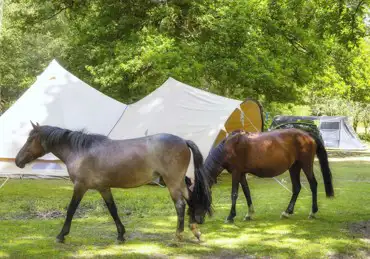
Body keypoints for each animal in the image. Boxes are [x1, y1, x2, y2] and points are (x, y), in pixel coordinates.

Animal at [15, 122, 211, 244]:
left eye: (30, 139)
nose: (18, 161)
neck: (80, 151)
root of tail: (183, 141)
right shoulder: (104, 188)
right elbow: (113, 209)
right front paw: (121, 235)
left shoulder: (80, 187)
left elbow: (71, 210)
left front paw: (61, 235)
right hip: (179, 183)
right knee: (191, 200)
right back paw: (196, 232)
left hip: (173, 183)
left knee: (180, 205)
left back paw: (178, 236)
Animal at [199, 128, 336, 223]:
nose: (198, 220)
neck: (230, 146)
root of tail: (308, 135)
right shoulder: (242, 174)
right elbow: (247, 192)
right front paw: (249, 214)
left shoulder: (236, 173)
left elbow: (234, 194)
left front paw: (230, 216)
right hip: (294, 167)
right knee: (297, 187)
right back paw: (287, 212)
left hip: (305, 165)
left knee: (313, 185)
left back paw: (312, 212)